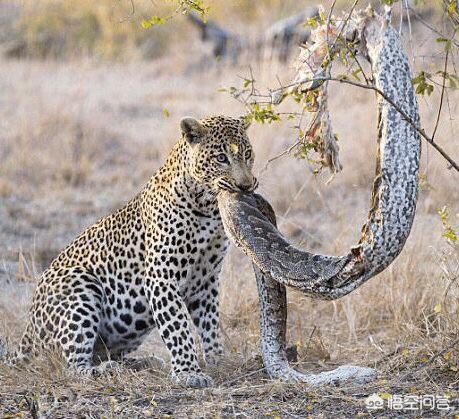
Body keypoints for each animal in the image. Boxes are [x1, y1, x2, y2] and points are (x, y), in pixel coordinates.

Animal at [1, 115, 256, 390]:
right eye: (221, 158)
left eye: (248, 154)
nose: (245, 186)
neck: (208, 207)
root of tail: (27, 331)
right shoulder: (161, 277)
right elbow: (177, 326)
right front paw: (189, 372)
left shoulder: (206, 279)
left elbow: (209, 324)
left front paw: (218, 360)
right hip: (80, 283)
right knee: (71, 365)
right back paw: (104, 371)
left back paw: (144, 362)